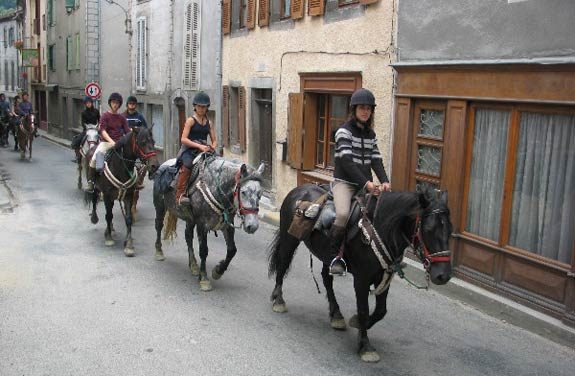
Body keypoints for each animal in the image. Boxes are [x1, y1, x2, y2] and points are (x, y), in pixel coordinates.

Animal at [88, 126, 160, 256]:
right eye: (142, 142)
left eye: (153, 142)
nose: (154, 165)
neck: (119, 167)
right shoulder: (107, 195)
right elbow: (109, 215)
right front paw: (109, 239)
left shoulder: (129, 195)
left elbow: (128, 218)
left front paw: (129, 245)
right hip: (97, 187)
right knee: (95, 198)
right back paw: (95, 219)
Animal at [153, 154, 266, 292]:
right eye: (243, 192)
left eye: (260, 194)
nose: (252, 226)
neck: (216, 188)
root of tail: (164, 163)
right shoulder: (202, 225)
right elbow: (203, 251)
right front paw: (204, 279)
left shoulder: (227, 225)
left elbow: (232, 250)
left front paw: (218, 271)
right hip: (160, 206)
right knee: (159, 226)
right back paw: (159, 252)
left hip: (190, 219)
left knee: (188, 236)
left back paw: (193, 265)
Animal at [270, 185, 454, 362]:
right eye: (428, 229)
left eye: (450, 231)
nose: (443, 275)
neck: (381, 230)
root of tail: (298, 190)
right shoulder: (362, 279)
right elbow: (364, 310)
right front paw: (365, 346)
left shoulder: (383, 277)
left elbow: (381, 311)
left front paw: (357, 323)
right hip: (289, 239)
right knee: (283, 264)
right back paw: (278, 300)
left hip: (327, 256)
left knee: (326, 279)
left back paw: (336, 315)